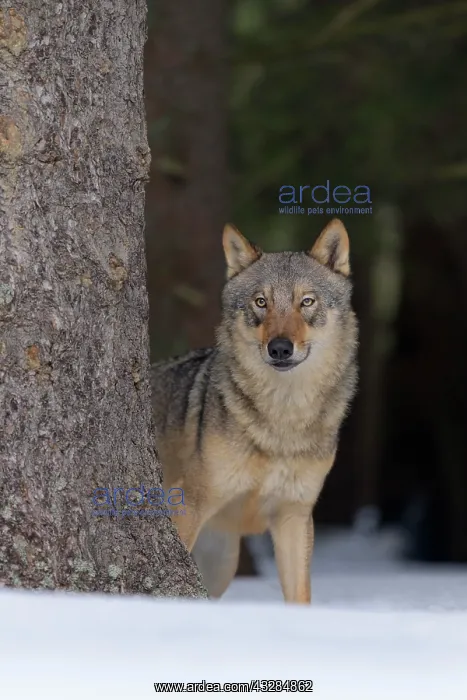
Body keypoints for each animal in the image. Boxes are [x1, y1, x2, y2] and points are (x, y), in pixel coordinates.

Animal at [151, 219, 358, 603]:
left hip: (222, 564)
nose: (280, 348)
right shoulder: (187, 505)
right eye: (261, 302)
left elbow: (300, 598)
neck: (283, 419)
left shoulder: (294, 517)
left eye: (306, 301)